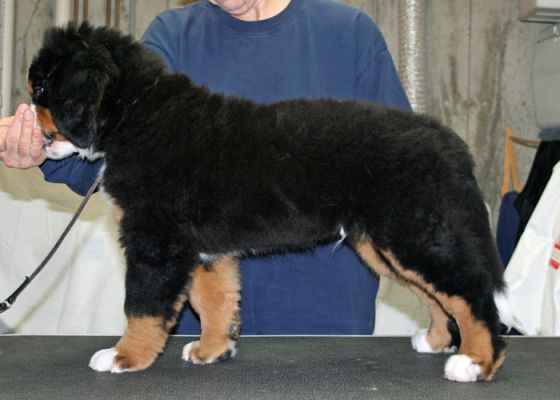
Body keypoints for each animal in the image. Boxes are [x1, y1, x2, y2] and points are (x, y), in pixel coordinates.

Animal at [28, 23, 510, 382]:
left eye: (41, 90)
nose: (28, 118)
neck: (137, 115)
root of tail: (450, 144)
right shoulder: (205, 250)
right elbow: (214, 301)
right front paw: (212, 350)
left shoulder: (156, 240)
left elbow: (143, 305)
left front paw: (125, 356)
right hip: (386, 245)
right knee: (439, 297)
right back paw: (434, 341)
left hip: (418, 234)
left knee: (470, 295)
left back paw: (476, 362)